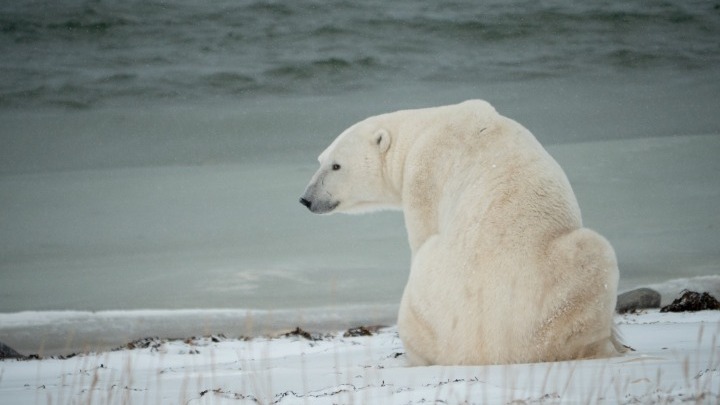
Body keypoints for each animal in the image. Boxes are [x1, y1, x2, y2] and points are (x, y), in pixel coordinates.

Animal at [300, 99, 624, 364]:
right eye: (321, 160)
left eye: (336, 165)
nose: (306, 199)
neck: (426, 126)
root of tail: (493, 350)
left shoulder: (424, 174)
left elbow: (422, 231)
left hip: (434, 305)